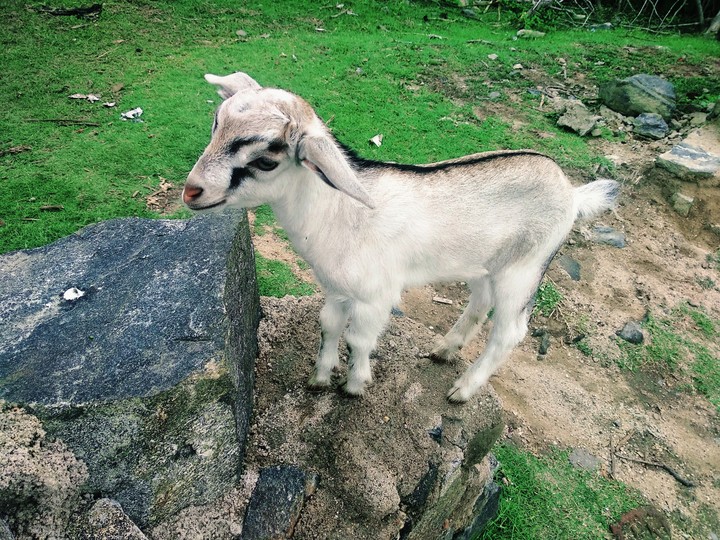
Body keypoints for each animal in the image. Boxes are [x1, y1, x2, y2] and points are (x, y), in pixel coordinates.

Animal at [183, 71, 619, 403]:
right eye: (215, 126)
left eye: (266, 160)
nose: (191, 191)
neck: (341, 213)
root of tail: (573, 193)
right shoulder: (336, 287)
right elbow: (328, 325)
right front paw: (319, 378)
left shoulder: (376, 294)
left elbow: (359, 339)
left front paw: (354, 386)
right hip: (484, 263)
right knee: (480, 301)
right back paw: (444, 349)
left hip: (525, 270)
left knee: (509, 332)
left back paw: (462, 390)